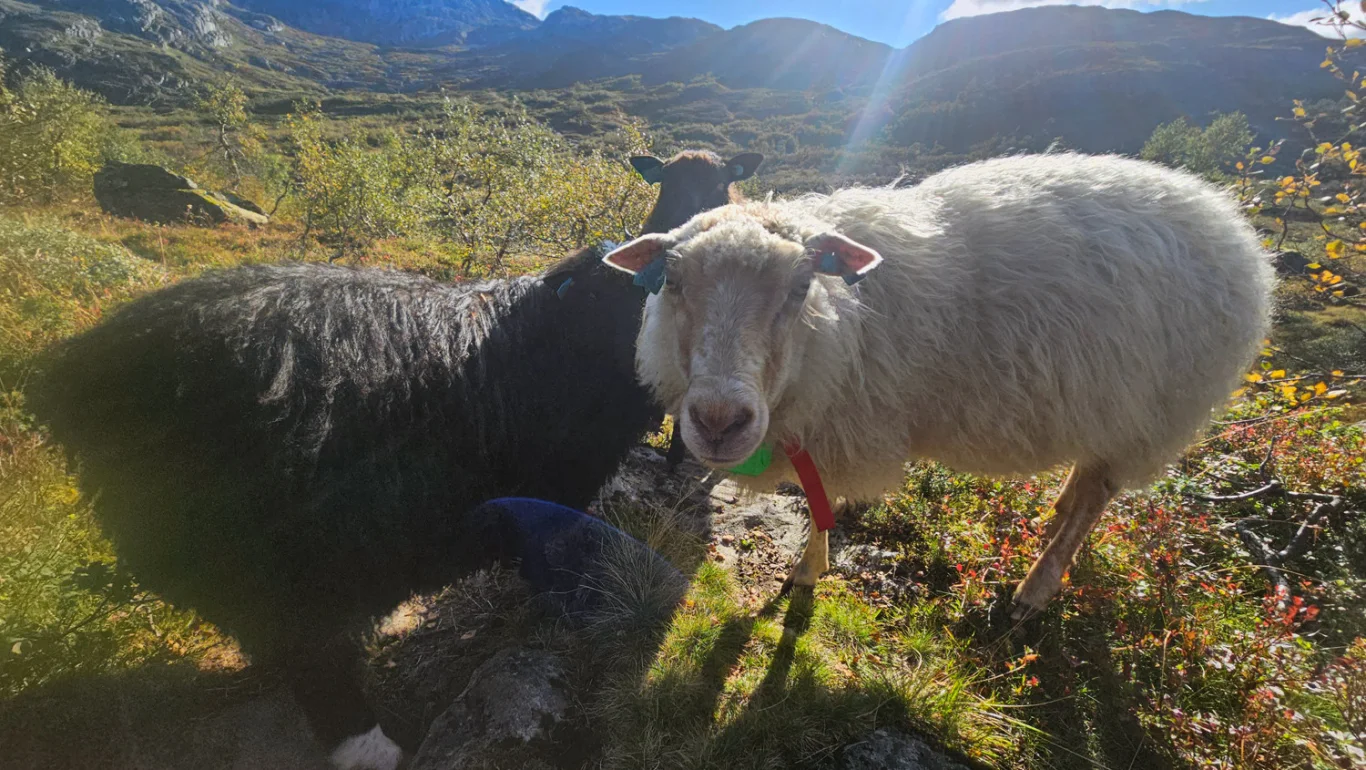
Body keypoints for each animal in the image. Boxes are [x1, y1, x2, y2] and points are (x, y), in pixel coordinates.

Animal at [27, 149, 747, 770]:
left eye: (724, 190)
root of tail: (83, 373)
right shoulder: (559, 476)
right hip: (272, 546)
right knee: (305, 648)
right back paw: (369, 741)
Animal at [602, 152, 1276, 620]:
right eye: (673, 283)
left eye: (799, 288)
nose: (719, 420)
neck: (838, 325)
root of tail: (1232, 228)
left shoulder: (841, 429)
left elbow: (822, 509)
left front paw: (806, 572)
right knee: (1087, 482)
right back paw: (1057, 506)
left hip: (1151, 414)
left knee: (1097, 500)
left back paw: (1036, 588)